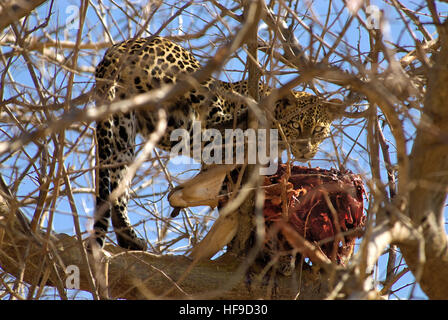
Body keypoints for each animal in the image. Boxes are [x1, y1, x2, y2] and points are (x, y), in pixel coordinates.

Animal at [92, 36, 344, 251]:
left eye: (319, 130)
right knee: (216, 127)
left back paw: (129, 237)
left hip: (124, 127)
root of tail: (120, 46)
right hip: (198, 88)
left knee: (118, 183)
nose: (304, 150)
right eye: (296, 126)